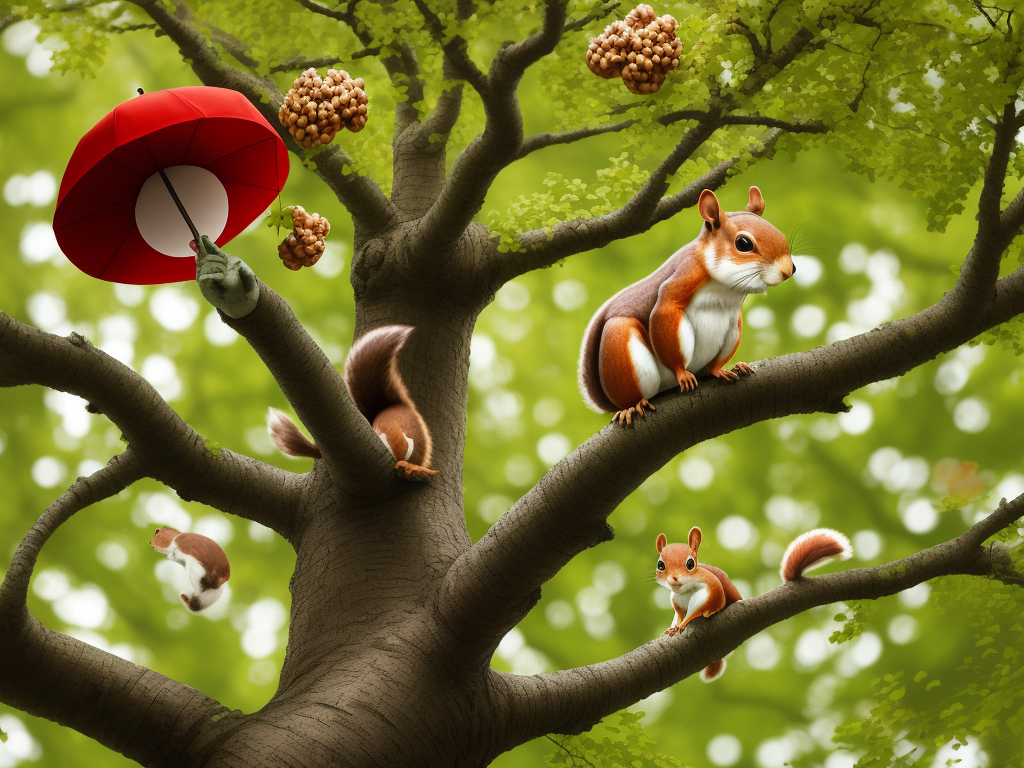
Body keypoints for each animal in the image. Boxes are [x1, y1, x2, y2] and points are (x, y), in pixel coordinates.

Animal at [579, 186, 795, 426]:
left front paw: (720, 369)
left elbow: (721, 355)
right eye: (743, 243)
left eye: (781, 235)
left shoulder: (734, 319)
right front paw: (682, 372)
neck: (727, 289)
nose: (788, 270)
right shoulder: (683, 277)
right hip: (619, 343)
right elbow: (665, 310)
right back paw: (633, 405)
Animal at [656, 526, 852, 682]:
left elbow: (699, 609)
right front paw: (674, 627)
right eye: (660, 565)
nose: (674, 579)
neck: (685, 592)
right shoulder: (677, 602)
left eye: (690, 563)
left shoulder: (709, 590)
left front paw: (686, 623)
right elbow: (679, 615)